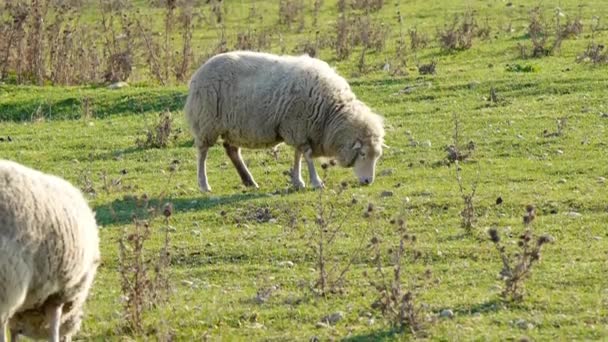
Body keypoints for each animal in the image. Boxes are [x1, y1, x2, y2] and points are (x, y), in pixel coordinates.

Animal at [183, 50, 388, 192]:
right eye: (363, 154)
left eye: (377, 156)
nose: (368, 181)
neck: (330, 112)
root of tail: (197, 74)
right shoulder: (298, 126)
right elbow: (306, 155)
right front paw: (315, 182)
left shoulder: (299, 130)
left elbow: (298, 155)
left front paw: (298, 181)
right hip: (206, 121)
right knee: (202, 153)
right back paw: (204, 184)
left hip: (233, 127)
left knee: (232, 150)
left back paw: (249, 181)